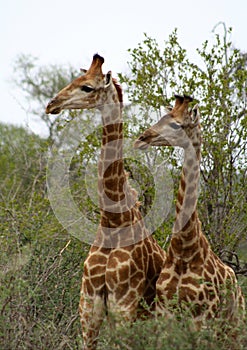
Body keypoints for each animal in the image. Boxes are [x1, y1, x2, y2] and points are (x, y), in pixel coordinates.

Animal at [46, 53, 166, 348]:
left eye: (87, 87)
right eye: (75, 79)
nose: (51, 104)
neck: (113, 219)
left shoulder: (124, 306)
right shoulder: (88, 307)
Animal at [134, 95, 244, 330]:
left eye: (176, 124)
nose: (141, 139)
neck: (184, 249)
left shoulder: (203, 316)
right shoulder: (165, 310)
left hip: (232, 325)